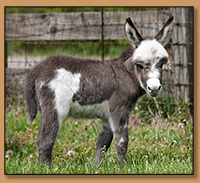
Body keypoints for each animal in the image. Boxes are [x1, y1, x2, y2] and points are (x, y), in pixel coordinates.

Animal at [25, 15, 173, 166]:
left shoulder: (107, 115)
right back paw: (47, 167)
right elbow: (121, 140)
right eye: (140, 65)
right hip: (55, 107)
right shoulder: (119, 107)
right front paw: (125, 167)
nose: (154, 88)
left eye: (161, 64)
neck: (126, 73)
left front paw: (97, 166)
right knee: (45, 139)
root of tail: (37, 69)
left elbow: (102, 144)